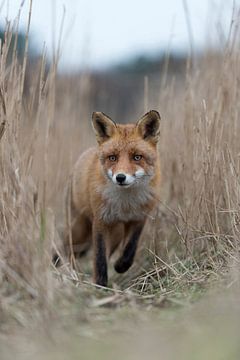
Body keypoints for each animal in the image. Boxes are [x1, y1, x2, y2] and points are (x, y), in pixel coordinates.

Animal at [66, 110, 160, 286]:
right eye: (112, 157)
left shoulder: (139, 218)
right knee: (66, 251)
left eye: (137, 157)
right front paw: (100, 285)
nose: (120, 177)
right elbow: (100, 259)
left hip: (115, 234)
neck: (125, 204)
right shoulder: (101, 222)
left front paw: (120, 266)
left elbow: (130, 249)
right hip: (79, 231)